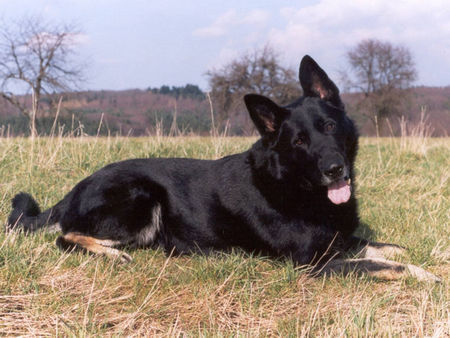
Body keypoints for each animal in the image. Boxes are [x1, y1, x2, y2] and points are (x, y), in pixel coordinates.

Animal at [7, 56, 440, 282]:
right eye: (299, 142)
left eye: (329, 127)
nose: (336, 170)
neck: (293, 185)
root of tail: (74, 191)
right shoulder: (315, 263)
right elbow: (384, 263)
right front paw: (427, 275)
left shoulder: (339, 241)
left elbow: (388, 248)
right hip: (139, 197)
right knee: (65, 236)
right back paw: (110, 254)